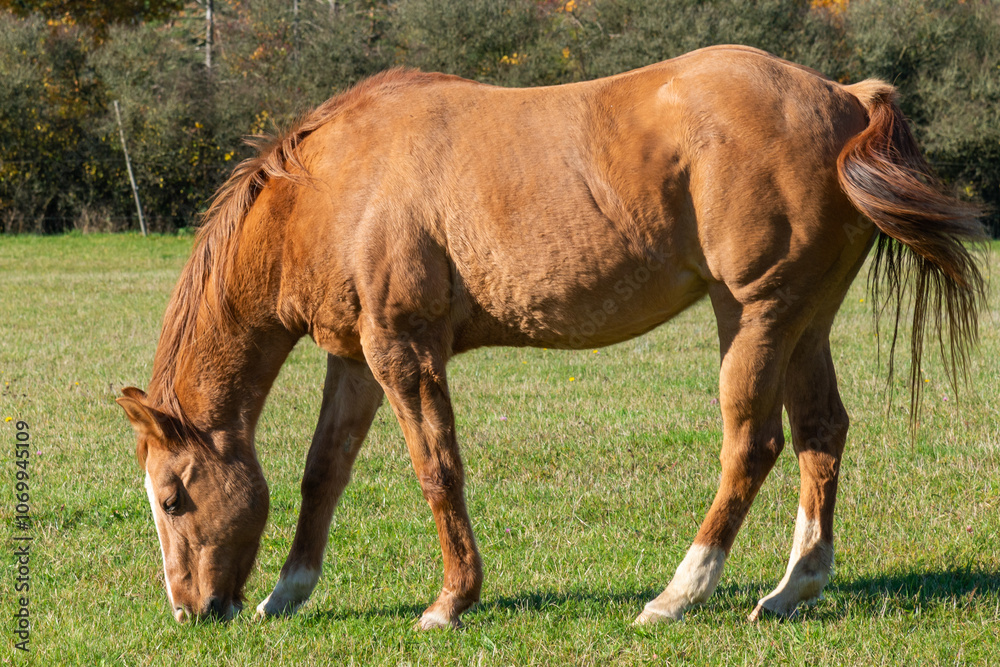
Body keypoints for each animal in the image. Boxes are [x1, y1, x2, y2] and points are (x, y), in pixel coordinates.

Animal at [116, 44, 985, 627]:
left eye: (172, 494)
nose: (192, 609)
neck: (333, 186)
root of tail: (844, 96)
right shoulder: (356, 359)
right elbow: (323, 471)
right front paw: (288, 590)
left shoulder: (404, 351)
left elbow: (438, 469)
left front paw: (451, 600)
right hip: (805, 321)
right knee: (820, 434)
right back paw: (792, 587)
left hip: (756, 314)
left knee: (754, 444)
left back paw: (678, 593)